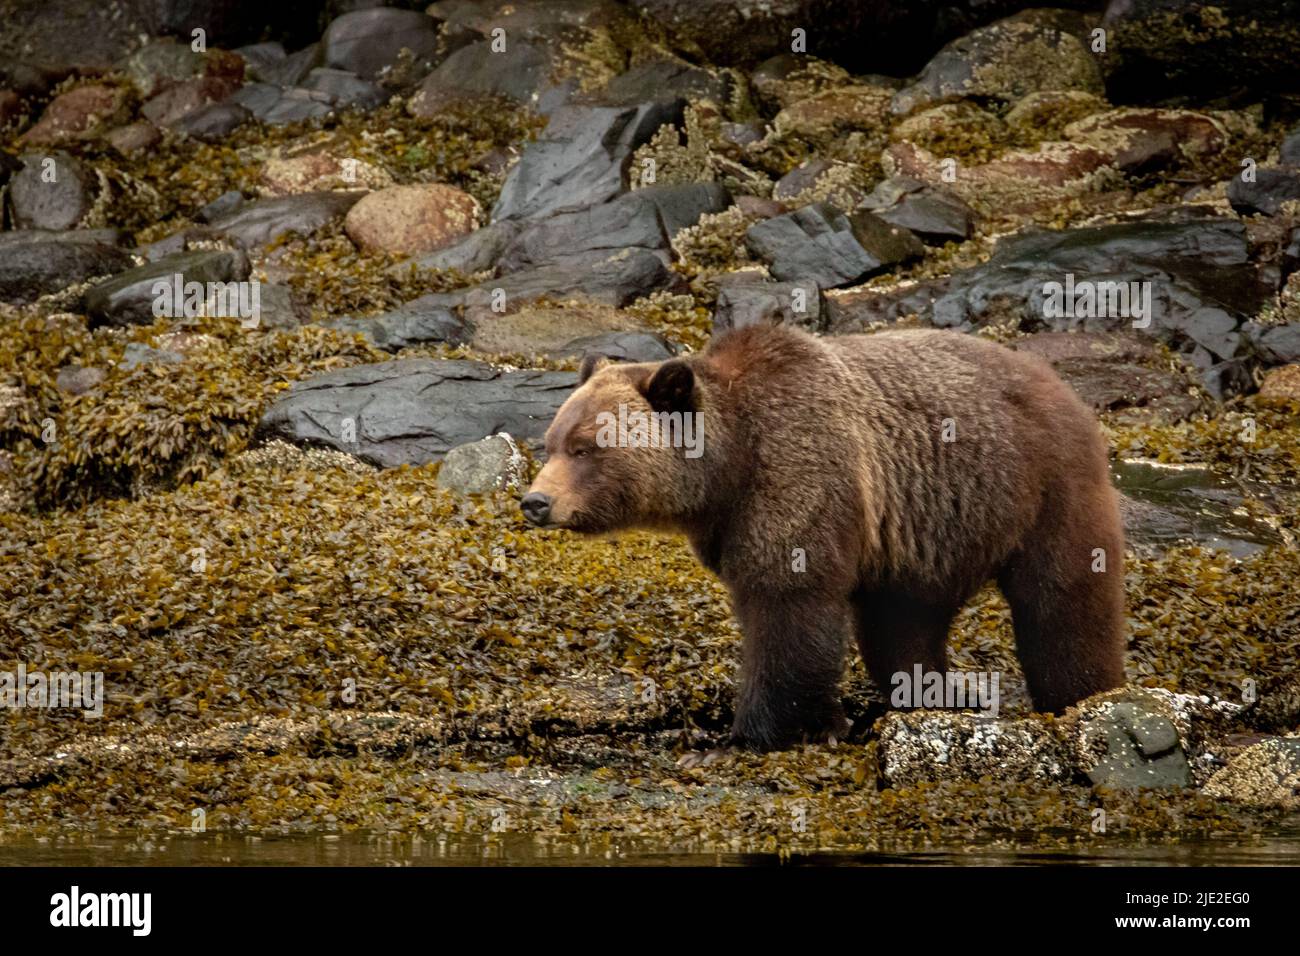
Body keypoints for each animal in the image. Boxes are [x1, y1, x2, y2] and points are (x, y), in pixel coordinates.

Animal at [521, 324, 1126, 757]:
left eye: (585, 447)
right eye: (550, 441)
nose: (535, 501)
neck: (727, 470)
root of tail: (1057, 381)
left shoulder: (798, 469)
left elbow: (789, 607)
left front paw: (741, 738)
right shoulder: (731, 524)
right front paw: (827, 722)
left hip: (1041, 483)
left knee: (1062, 598)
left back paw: (1083, 695)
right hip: (928, 529)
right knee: (903, 621)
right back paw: (925, 696)